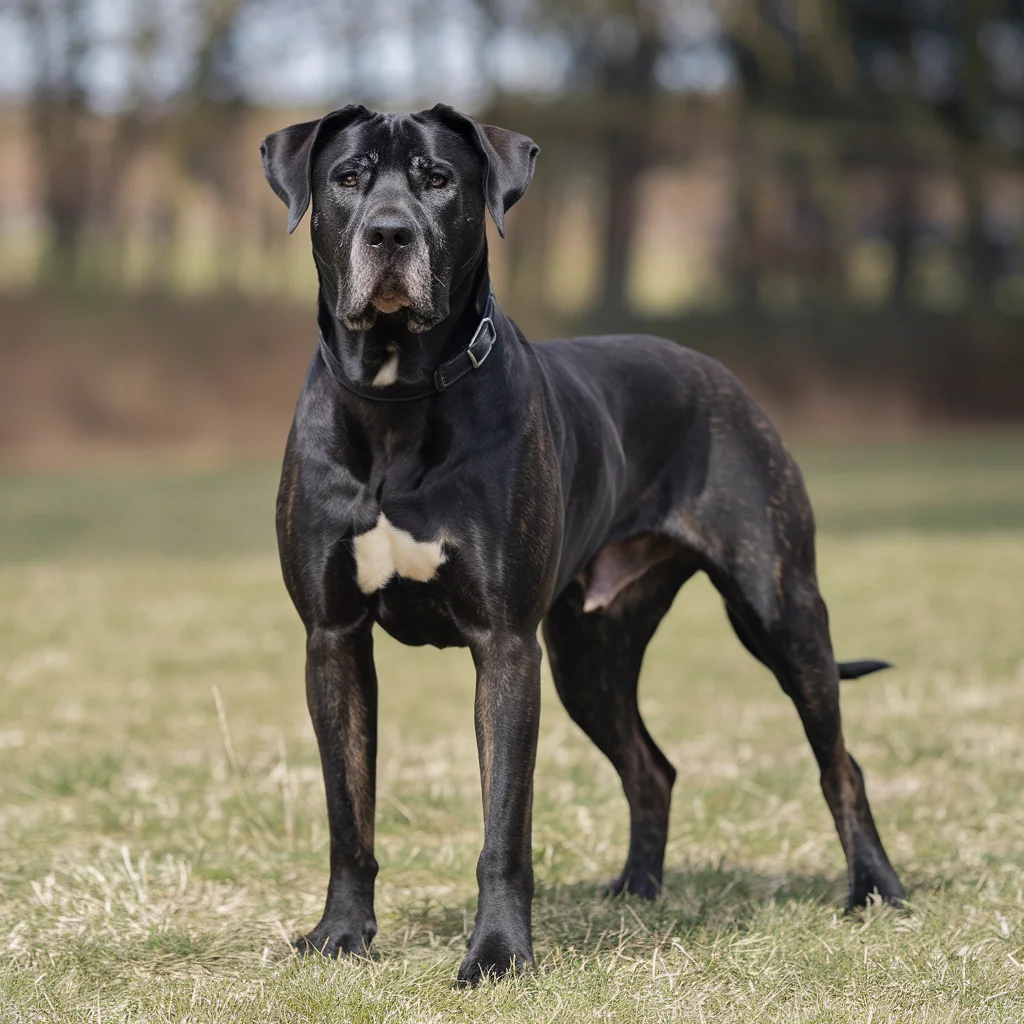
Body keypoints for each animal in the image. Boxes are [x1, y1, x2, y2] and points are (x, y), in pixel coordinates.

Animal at [258, 101, 905, 983]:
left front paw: (498, 954)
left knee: (841, 762)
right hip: (589, 657)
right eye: (349, 177)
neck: (396, 401)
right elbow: (346, 808)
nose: (389, 233)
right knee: (652, 767)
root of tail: (724, 377)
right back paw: (638, 889)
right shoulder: (333, 639)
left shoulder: (504, 645)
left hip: (781, 613)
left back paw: (876, 887)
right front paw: (341, 935)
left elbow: (504, 823)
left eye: (438, 179)